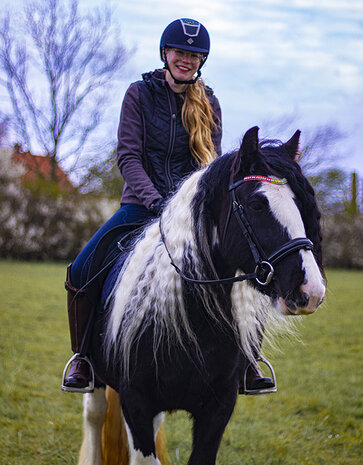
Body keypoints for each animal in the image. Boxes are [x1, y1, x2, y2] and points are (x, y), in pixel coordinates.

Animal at [75, 127, 326, 464]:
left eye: (301, 205)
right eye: (257, 205)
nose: (311, 290)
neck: (195, 320)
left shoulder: (218, 409)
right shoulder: (136, 402)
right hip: (98, 379)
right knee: (94, 415)